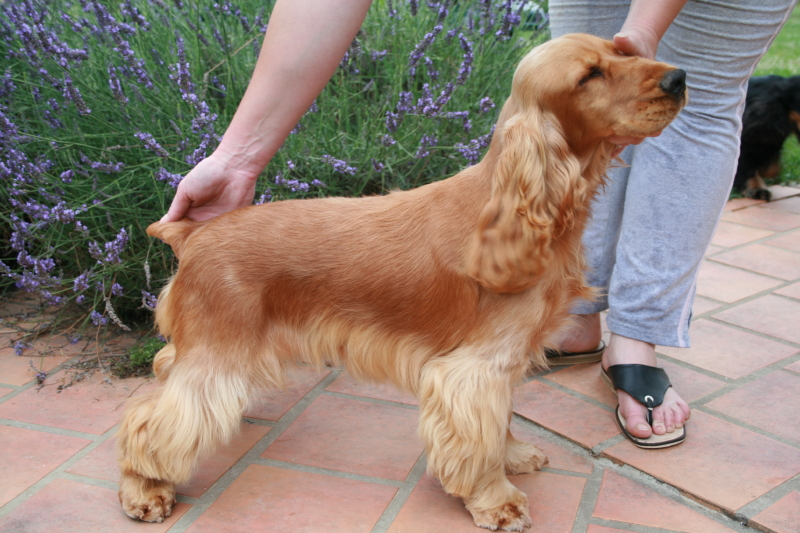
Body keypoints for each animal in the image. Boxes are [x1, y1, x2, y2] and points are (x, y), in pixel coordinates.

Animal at [117, 34, 685, 531]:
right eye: (589, 75)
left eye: (622, 52)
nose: (679, 78)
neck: (522, 206)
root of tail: (193, 233)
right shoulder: (474, 369)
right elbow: (480, 442)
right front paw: (496, 501)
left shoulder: (500, 367)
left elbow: (502, 422)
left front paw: (515, 454)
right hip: (220, 355)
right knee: (151, 423)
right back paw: (145, 490)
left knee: (165, 369)